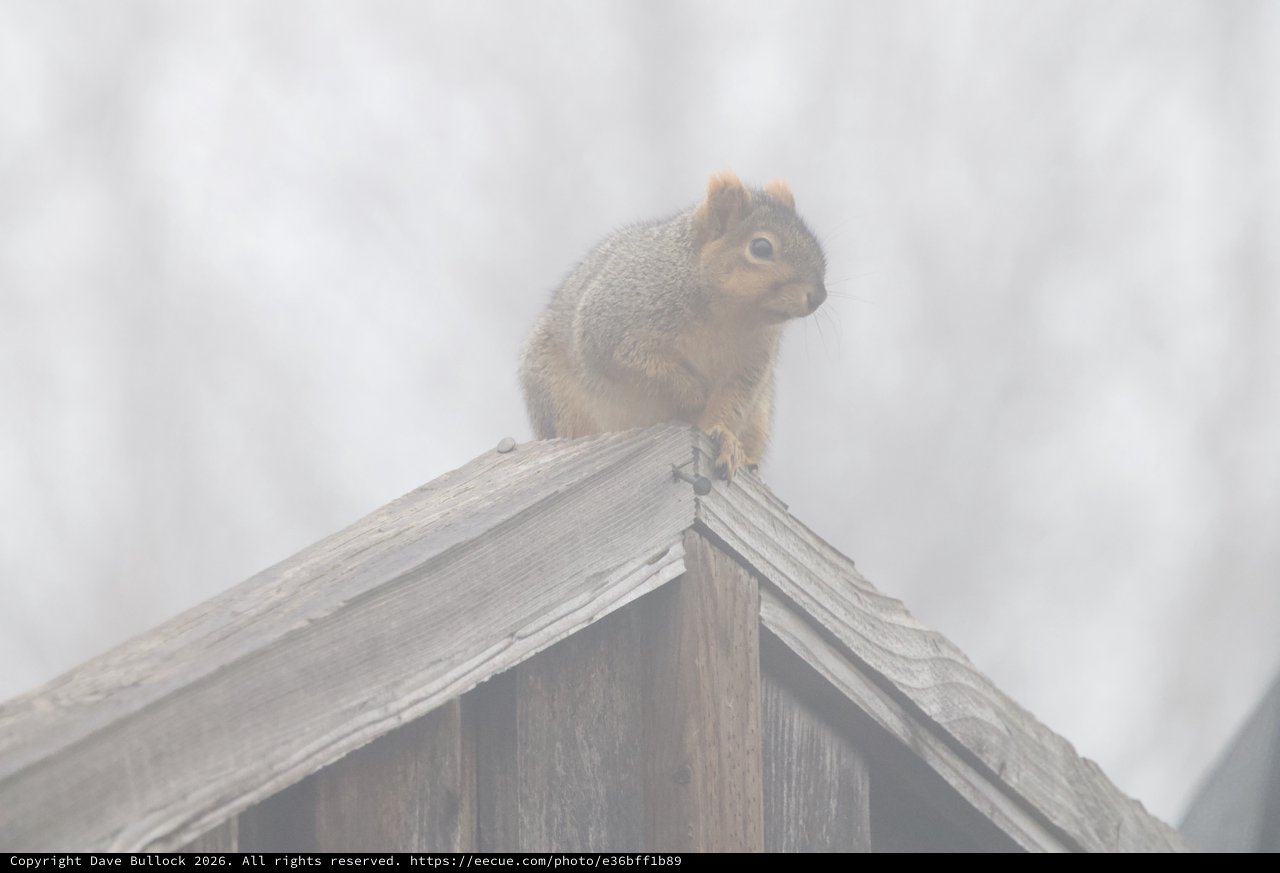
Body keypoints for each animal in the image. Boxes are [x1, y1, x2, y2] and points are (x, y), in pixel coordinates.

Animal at [518, 171, 827, 481]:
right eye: (761, 247)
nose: (818, 296)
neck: (727, 315)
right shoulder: (611, 327)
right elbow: (642, 367)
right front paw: (693, 394)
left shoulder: (750, 366)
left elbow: (730, 404)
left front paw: (724, 438)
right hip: (555, 397)